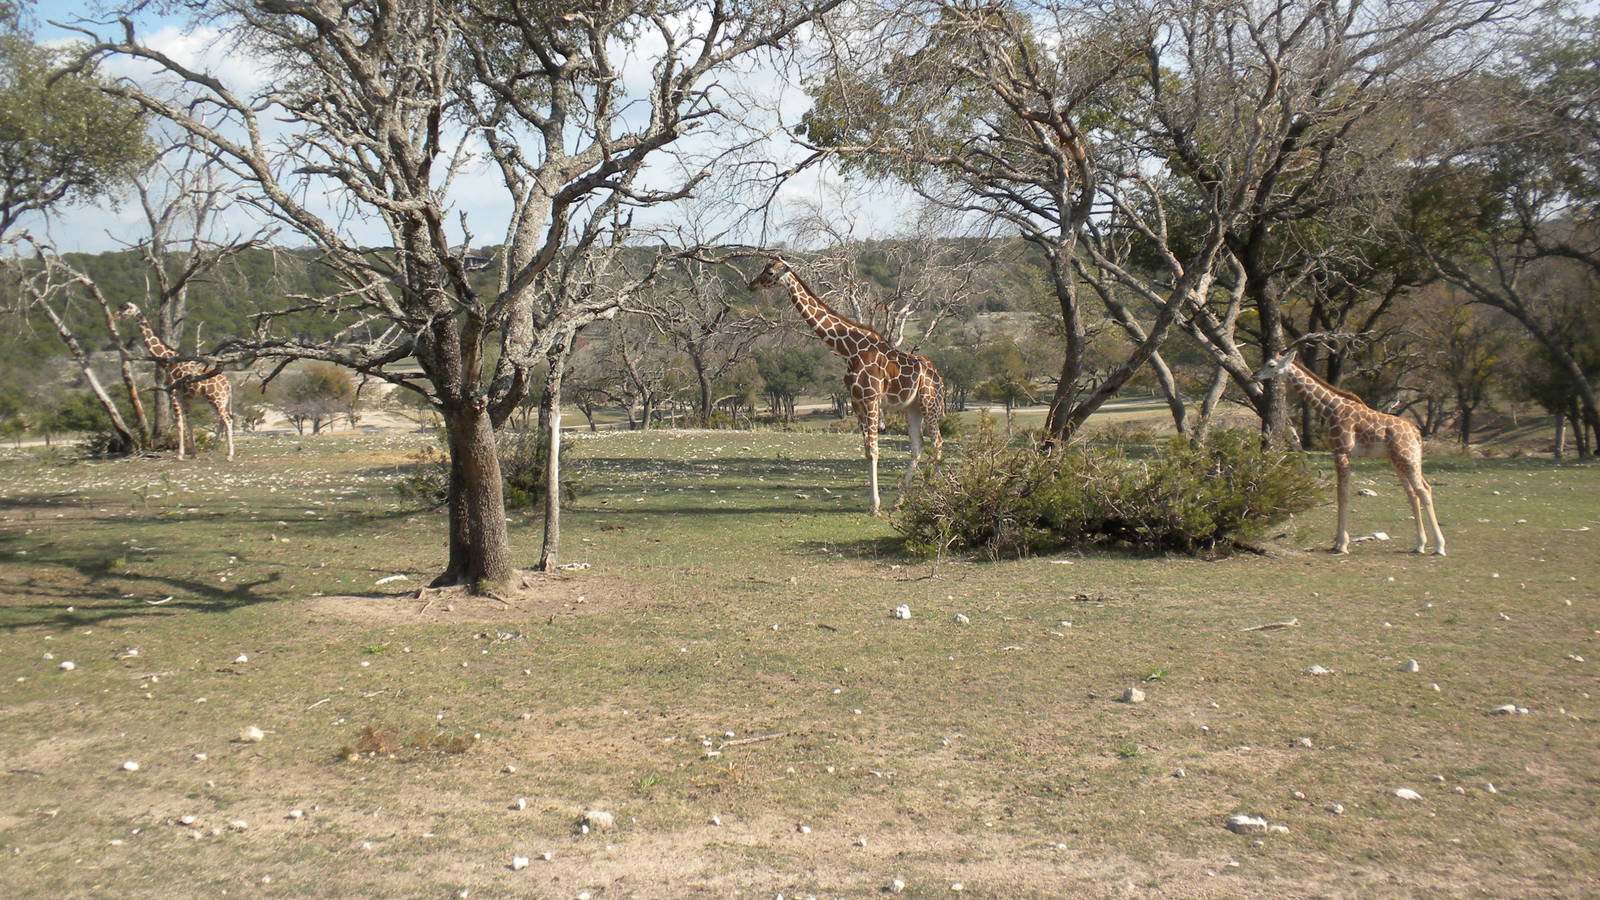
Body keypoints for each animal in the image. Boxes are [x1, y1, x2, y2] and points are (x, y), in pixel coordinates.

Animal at [114, 302, 234, 461]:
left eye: (126, 307)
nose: (115, 315)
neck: (168, 360)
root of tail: (228, 385)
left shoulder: (173, 393)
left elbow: (179, 422)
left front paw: (180, 454)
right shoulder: (186, 399)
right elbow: (189, 422)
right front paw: (193, 454)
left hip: (216, 399)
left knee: (227, 420)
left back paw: (230, 455)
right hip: (219, 401)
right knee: (221, 421)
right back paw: (212, 453)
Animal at [748, 257, 944, 515]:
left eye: (769, 272)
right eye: (762, 269)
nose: (751, 284)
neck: (849, 349)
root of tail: (940, 377)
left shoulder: (871, 399)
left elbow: (874, 450)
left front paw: (874, 506)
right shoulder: (856, 401)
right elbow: (867, 452)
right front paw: (875, 503)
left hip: (929, 402)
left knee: (938, 443)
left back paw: (935, 494)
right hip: (911, 407)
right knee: (918, 446)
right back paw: (899, 500)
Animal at [1256, 349, 1444, 556]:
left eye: (1271, 364)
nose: (1255, 375)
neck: (1330, 409)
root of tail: (1416, 433)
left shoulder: (1342, 451)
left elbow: (1343, 494)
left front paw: (1341, 544)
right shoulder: (1339, 452)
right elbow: (1342, 493)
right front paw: (1338, 542)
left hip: (1407, 458)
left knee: (1424, 490)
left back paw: (1439, 547)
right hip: (1398, 460)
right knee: (1413, 493)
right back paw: (1420, 545)